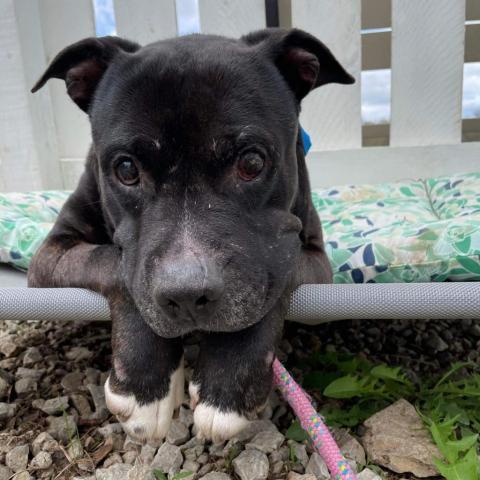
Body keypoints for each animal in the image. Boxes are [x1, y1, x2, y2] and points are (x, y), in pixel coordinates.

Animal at [29, 29, 352, 442]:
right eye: (126, 169)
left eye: (252, 162)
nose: (185, 294)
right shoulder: (54, 253)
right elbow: (116, 266)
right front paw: (143, 386)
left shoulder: (310, 257)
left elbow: (273, 277)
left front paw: (225, 383)